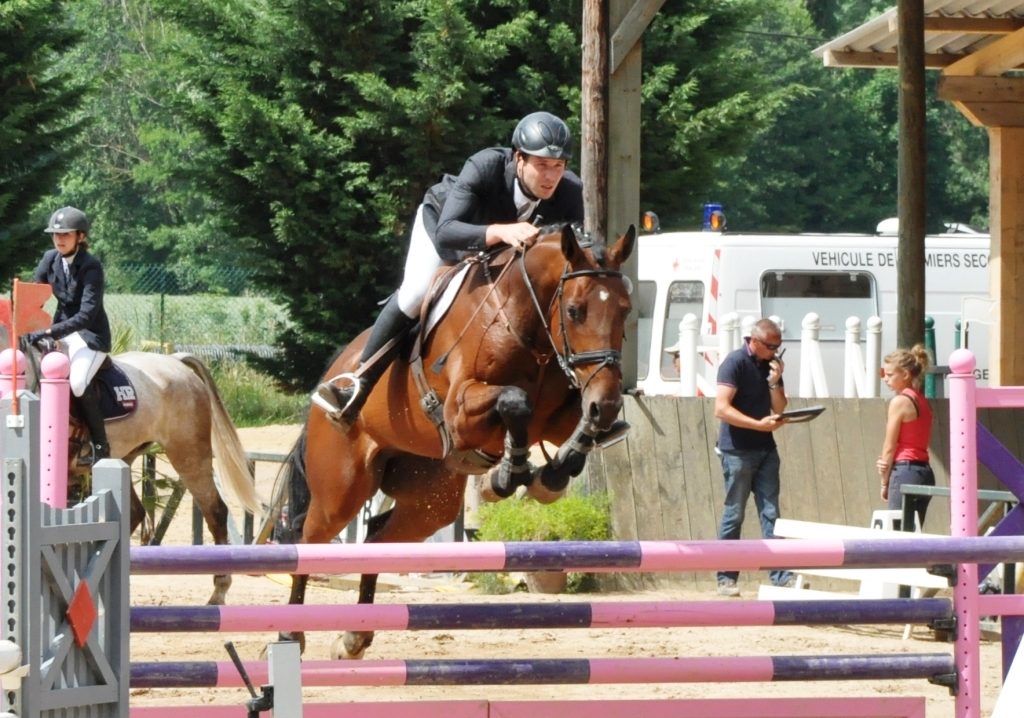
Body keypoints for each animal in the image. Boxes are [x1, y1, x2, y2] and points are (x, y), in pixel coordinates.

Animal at [276, 222, 634, 655]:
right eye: (574, 311)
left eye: (625, 310)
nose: (607, 402)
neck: (522, 317)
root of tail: (331, 376)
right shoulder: (460, 412)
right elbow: (515, 401)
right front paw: (507, 476)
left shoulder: (558, 415)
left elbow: (575, 425)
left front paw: (552, 474)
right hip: (340, 490)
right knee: (309, 539)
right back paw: (289, 636)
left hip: (430, 500)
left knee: (378, 535)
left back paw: (354, 636)